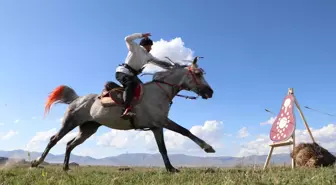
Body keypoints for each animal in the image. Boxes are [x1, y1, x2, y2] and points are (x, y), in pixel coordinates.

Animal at [31, 56, 215, 172]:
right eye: (198, 74)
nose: (210, 92)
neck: (159, 92)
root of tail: (77, 99)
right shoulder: (163, 121)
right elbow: (185, 131)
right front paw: (208, 147)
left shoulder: (157, 127)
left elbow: (163, 148)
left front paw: (171, 169)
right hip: (70, 122)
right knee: (53, 140)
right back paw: (37, 162)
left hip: (88, 129)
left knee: (70, 144)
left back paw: (65, 167)